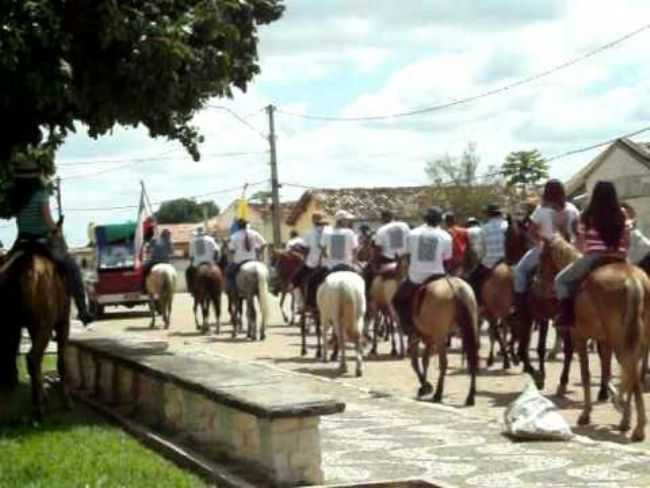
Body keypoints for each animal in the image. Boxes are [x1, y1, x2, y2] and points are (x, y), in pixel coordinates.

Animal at [0, 252, 72, 420]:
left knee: (13, 358)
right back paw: (39, 407)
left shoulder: (32, 329)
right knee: (32, 358)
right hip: (44, 327)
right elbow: (62, 360)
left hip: (12, 326)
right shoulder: (63, 324)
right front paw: (65, 400)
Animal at [540, 236, 648, 442]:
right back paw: (631, 423)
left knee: (632, 374)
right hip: (633, 340)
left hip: (621, 341)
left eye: (543, 256)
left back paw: (638, 428)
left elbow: (586, 373)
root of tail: (631, 280)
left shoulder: (580, 337)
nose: (538, 282)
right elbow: (606, 372)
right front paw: (616, 403)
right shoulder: (604, 341)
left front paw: (586, 413)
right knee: (633, 375)